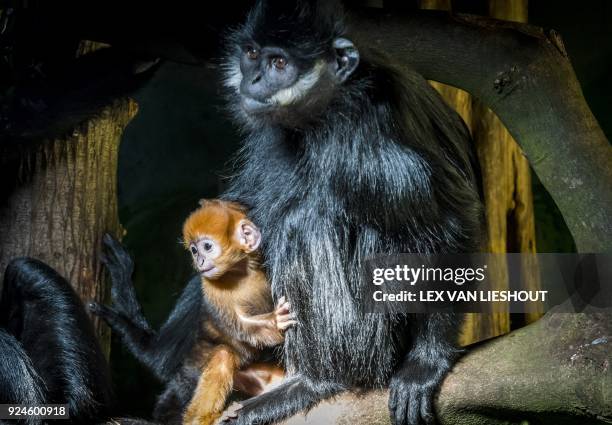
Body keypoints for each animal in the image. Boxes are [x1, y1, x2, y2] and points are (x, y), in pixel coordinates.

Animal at [182, 200, 294, 424]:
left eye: (206, 247)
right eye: (194, 251)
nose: (199, 261)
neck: (238, 273)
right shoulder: (211, 288)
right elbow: (243, 328)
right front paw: (275, 322)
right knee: (223, 354)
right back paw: (204, 418)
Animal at [218, 0, 486, 424]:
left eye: (280, 63)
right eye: (253, 55)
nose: (254, 78)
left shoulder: (370, 133)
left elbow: (452, 223)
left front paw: (428, 362)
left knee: (312, 221)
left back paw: (318, 381)